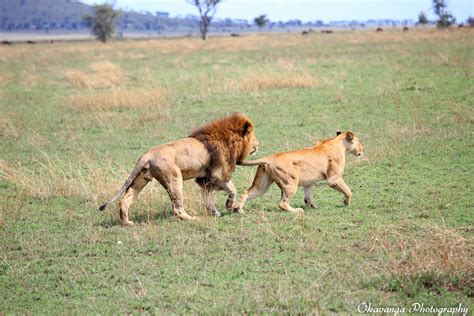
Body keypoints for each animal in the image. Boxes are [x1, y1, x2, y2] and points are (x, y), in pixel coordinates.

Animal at [97, 113, 258, 225]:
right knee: (177, 208)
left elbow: (208, 198)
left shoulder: (205, 179)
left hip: (141, 179)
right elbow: (233, 189)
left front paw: (215, 212)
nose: (259, 144)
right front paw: (230, 206)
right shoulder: (218, 174)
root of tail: (147, 155)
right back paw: (192, 218)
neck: (229, 140)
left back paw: (127, 222)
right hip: (173, 178)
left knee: (124, 200)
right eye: (253, 137)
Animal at [235, 130, 364, 214]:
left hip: (262, 186)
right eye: (359, 142)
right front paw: (346, 202)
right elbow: (348, 191)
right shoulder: (334, 178)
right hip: (291, 182)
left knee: (246, 192)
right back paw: (297, 211)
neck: (339, 144)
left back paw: (238, 209)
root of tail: (269, 157)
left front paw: (312, 206)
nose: (363, 149)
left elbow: (308, 197)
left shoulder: (308, 183)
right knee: (282, 204)